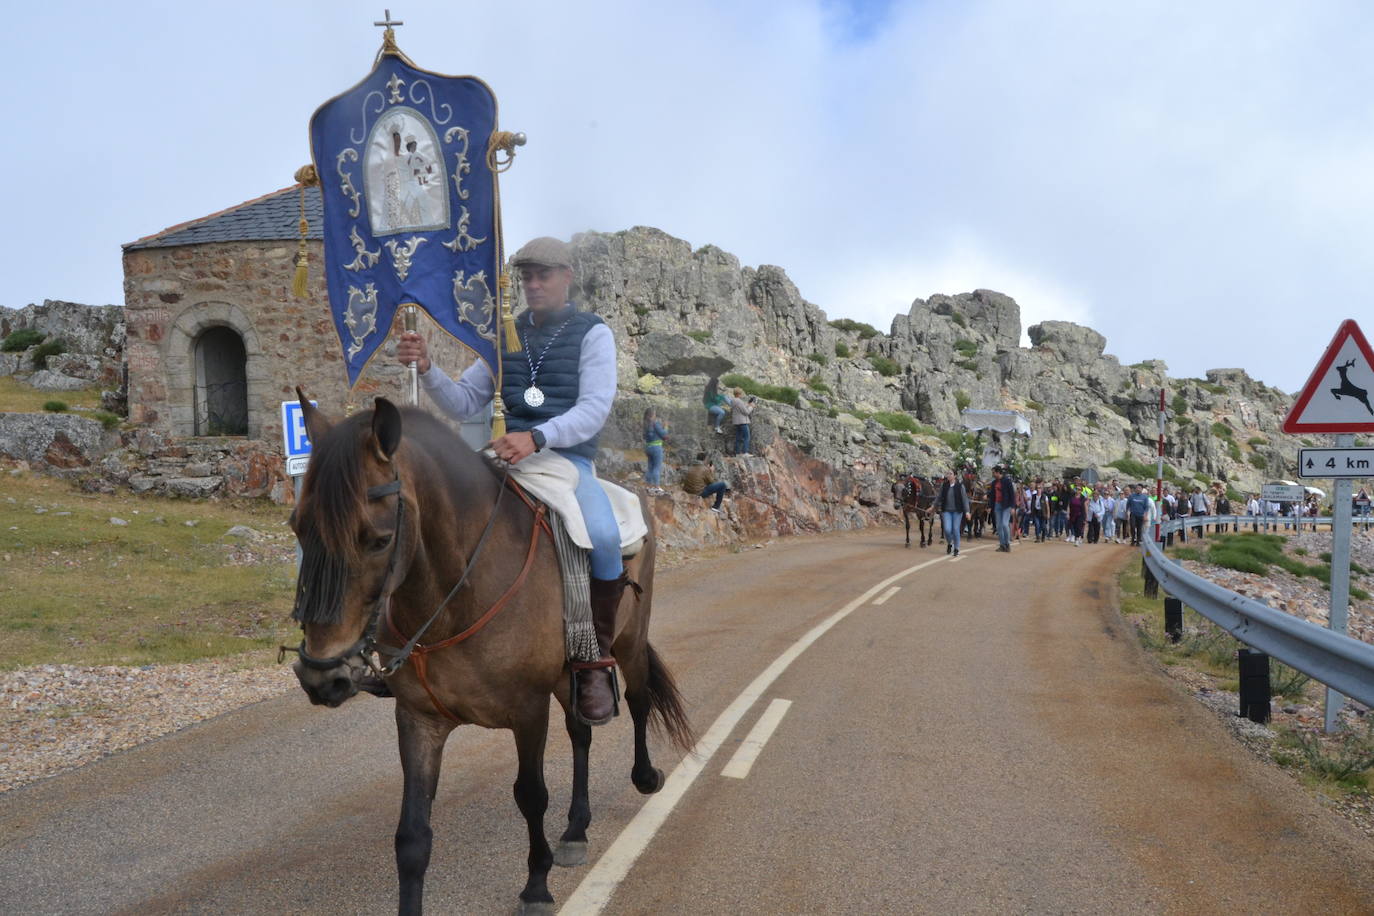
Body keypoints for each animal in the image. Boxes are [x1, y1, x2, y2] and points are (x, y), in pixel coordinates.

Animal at [289, 395, 697, 916]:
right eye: (297, 527)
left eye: (378, 539)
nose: (322, 676)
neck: (456, 595)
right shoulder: (418, 718)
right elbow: (412, 836)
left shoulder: (527, 711)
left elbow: (531, 795)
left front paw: (537, 885)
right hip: (568, 675)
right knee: (581, 731)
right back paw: (576, 829)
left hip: (627, 641)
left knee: (639, 699)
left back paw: (645, 777)